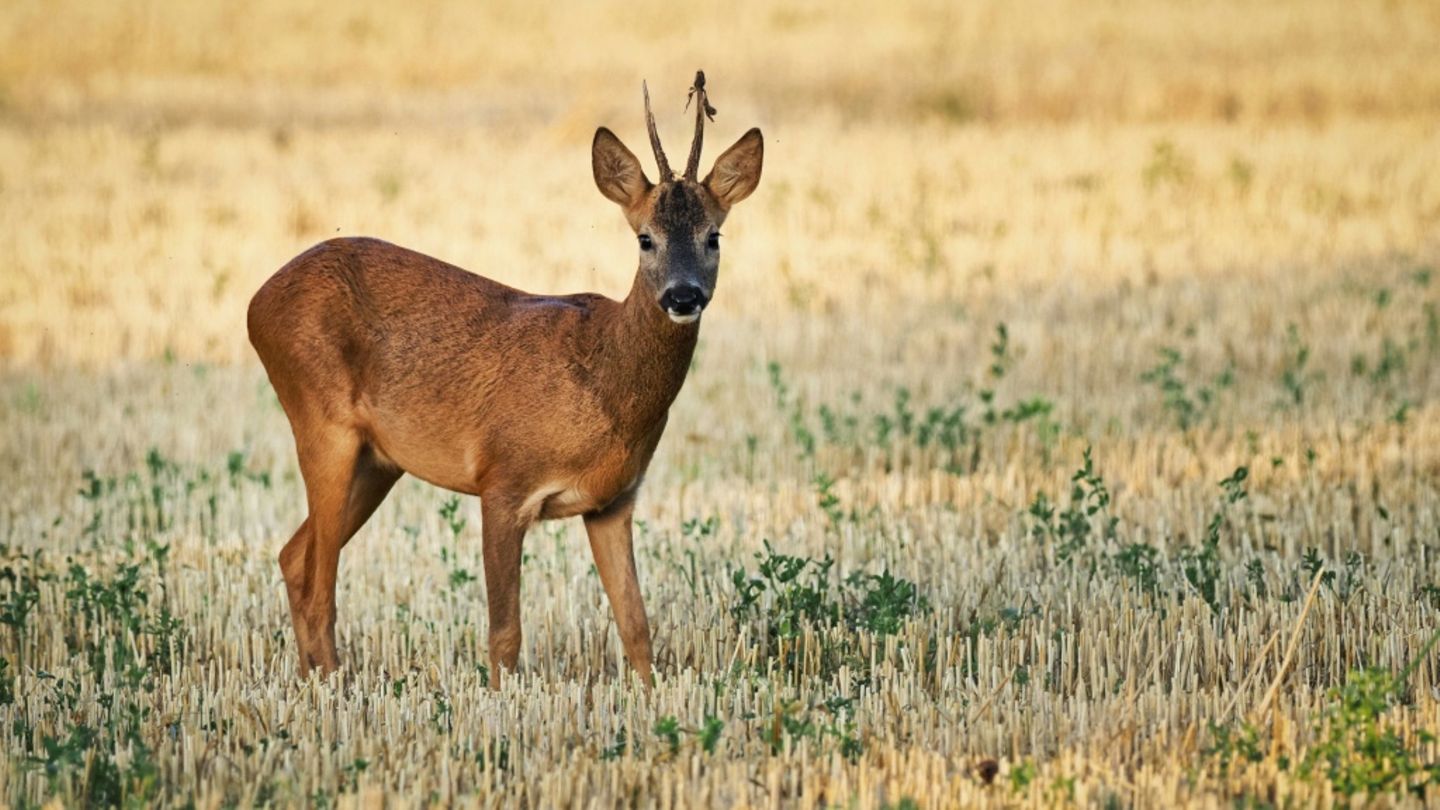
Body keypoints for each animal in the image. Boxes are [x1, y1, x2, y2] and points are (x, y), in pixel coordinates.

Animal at [247, 72, 762, 686]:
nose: (683, 296)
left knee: (294, 557)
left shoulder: (612, 501)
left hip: (378, 461)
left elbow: (636, 626)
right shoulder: (503, 480)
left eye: (714, 236)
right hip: (321, 423)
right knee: (322, 581)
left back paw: (312, 682)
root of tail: (256, 303)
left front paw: (649, 694)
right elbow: (505, 634)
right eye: (645, 238)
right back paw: (332, 689)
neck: (603, 378)